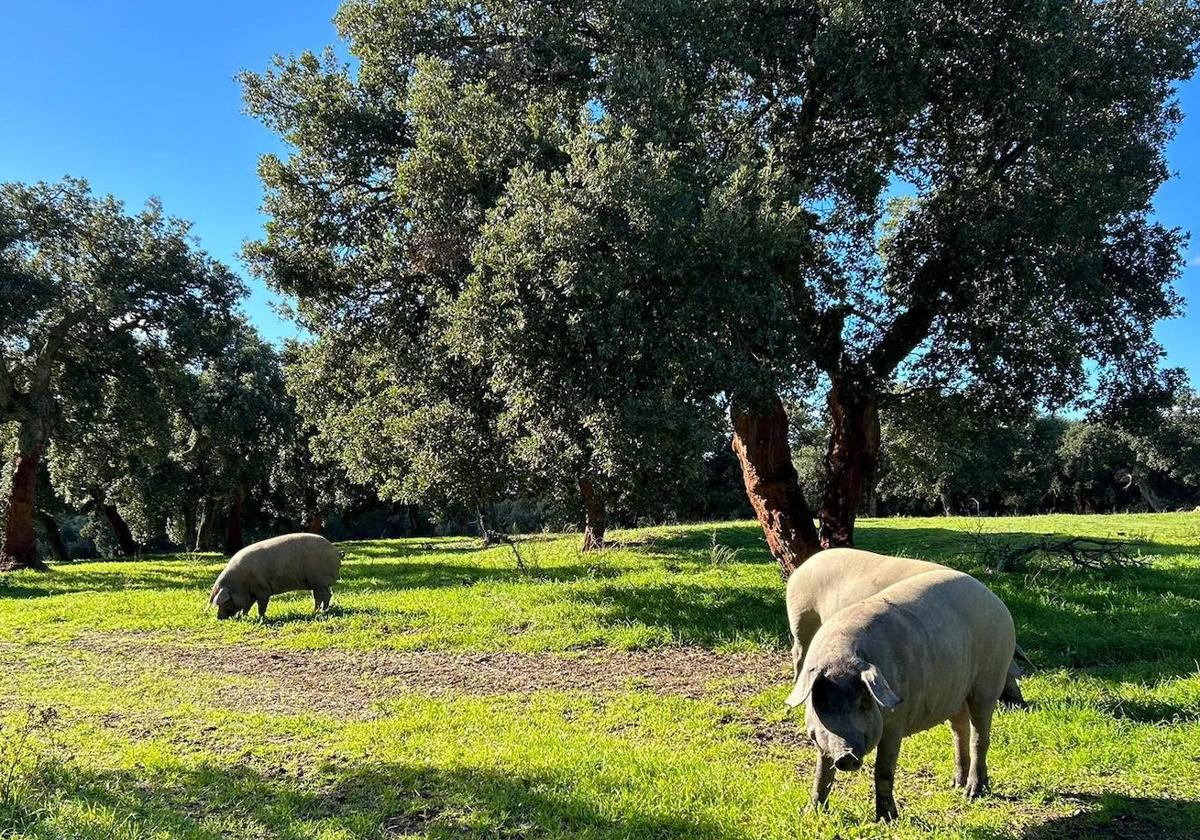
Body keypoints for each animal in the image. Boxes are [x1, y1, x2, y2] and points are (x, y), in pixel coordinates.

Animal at [208, 535, 343, 619]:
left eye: (225, 601)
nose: (219, 618)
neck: (240, 583)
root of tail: (336, 551)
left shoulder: (262, 590)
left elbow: (261, 606)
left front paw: (261, 618)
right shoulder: (252, 592)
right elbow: (247, 605)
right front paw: (243, 616)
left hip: (318, 581)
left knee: (320, 596)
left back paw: (316, 612)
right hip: (319, 583)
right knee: (327, 595)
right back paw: (323, 611)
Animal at [787, 547, 1032, 705]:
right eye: (1008, 672)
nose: (1020, 703)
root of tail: (803, 565)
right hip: (800, 614)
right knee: (798, 649)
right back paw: (795, 678)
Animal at [787, 571, 1022, 820]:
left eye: (864, 701)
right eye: (820, 702)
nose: (846, 755)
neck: (840, 656)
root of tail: (996, 600)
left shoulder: (895, 723)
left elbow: (883, 770)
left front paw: (887, 820)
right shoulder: (821, 737)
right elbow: (822, 773)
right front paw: (810, 813)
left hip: (989, 679)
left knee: (980, 736)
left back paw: (972, 793)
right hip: (955, 690)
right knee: (960, 731)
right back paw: (955, 784)